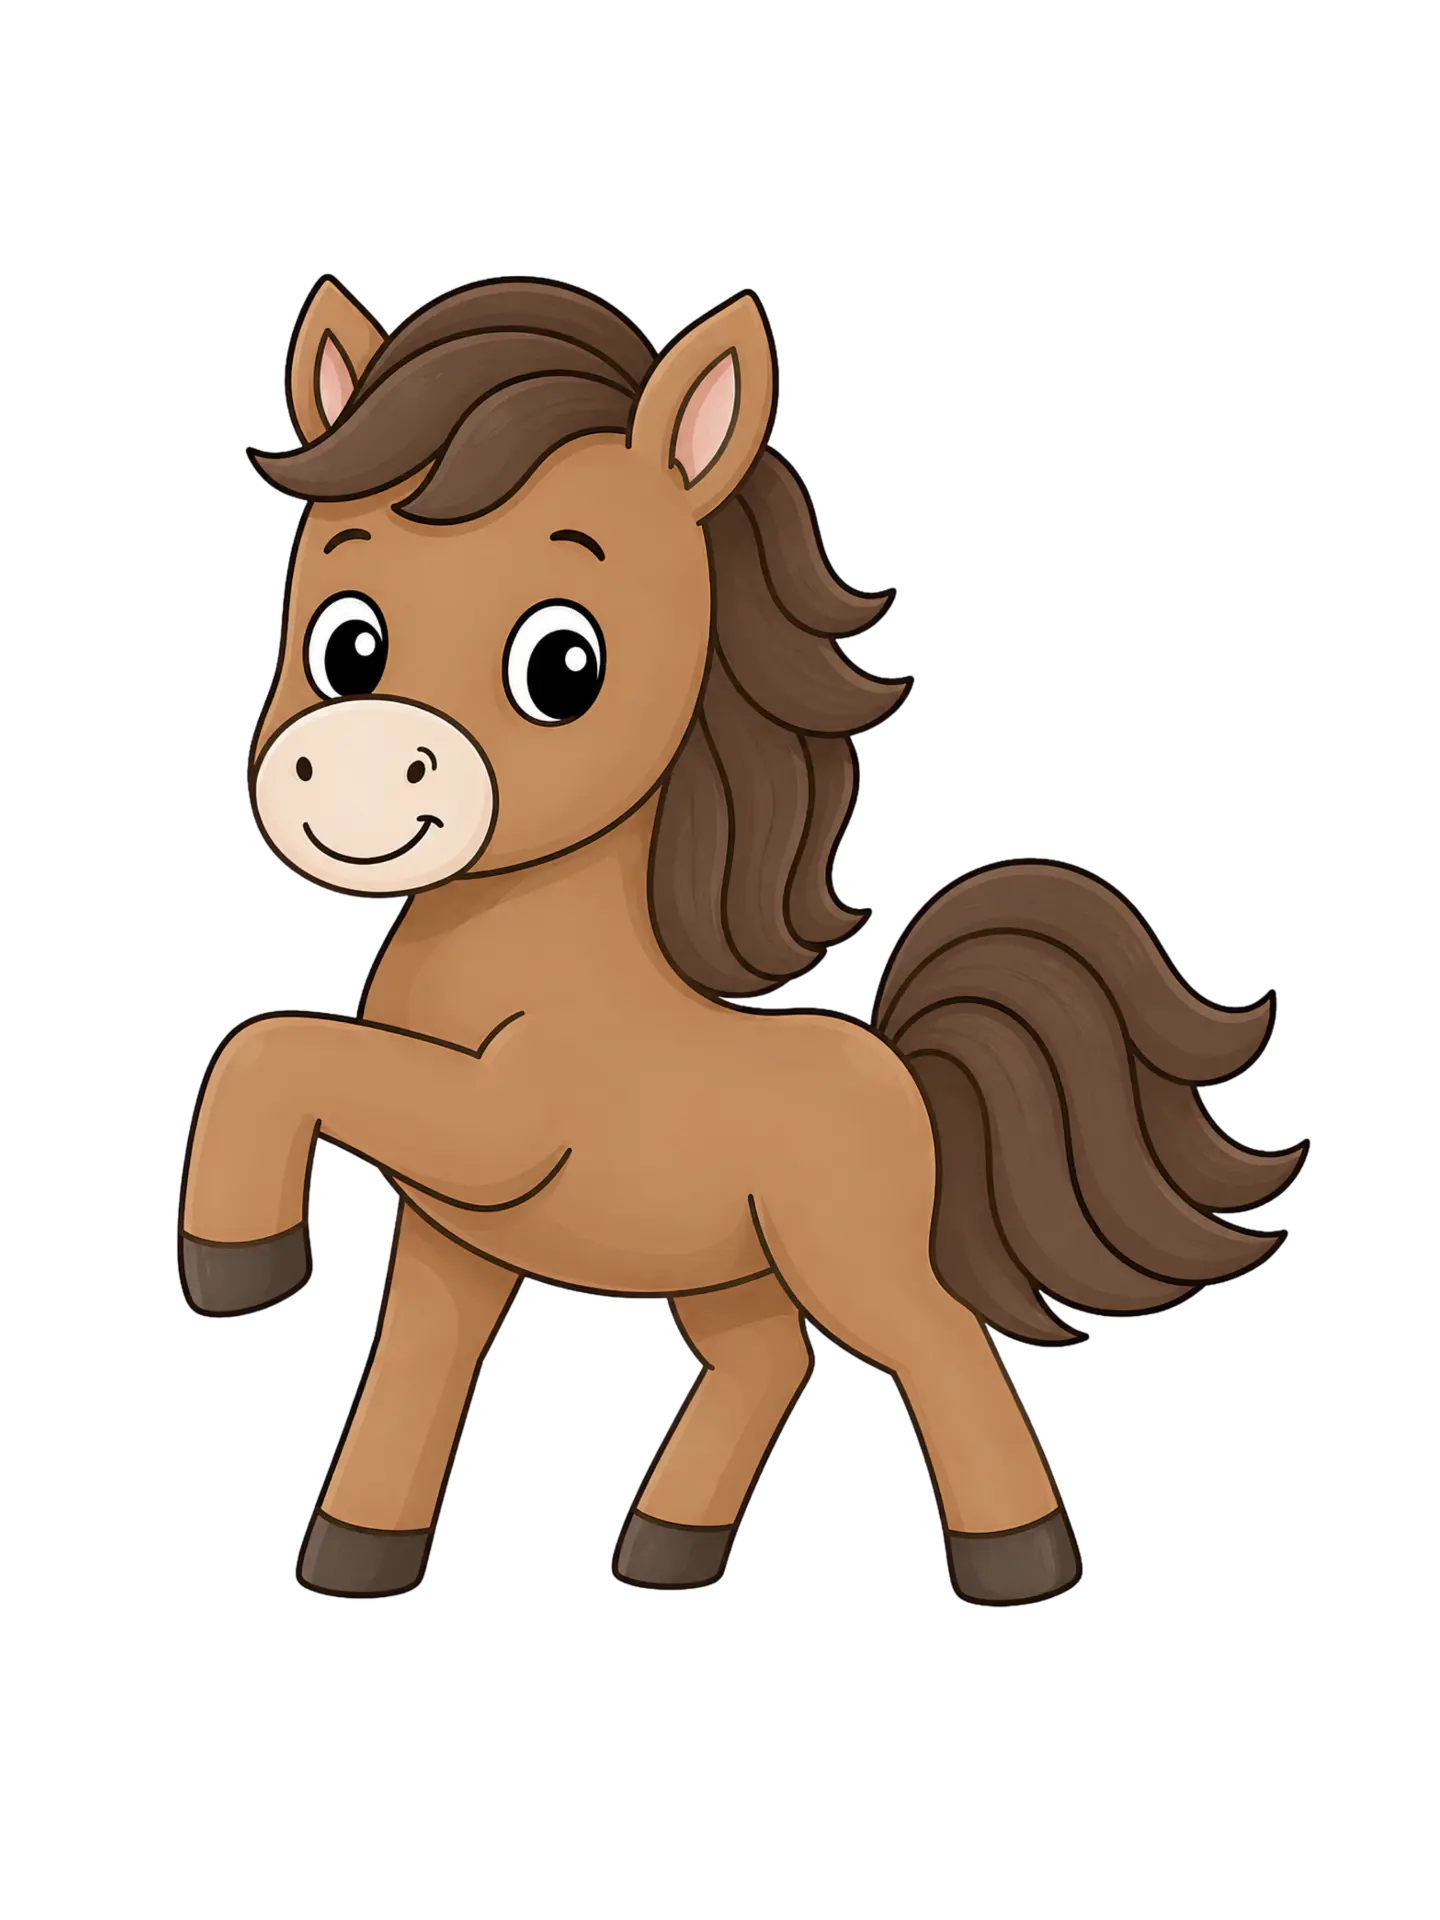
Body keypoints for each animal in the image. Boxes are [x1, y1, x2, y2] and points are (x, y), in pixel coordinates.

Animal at [178, 276, 1301, 1600]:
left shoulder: (501, 1129)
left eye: (565, 663)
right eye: (346, 640)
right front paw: (357, 1555)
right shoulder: (452, 1236)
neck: (523, 967)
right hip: (738, 1275)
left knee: (938, 1341)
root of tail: (903, 1066)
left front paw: (237, 1257)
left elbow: (272, 1047)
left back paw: (1016, 1561)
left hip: (848, 1255)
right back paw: (668, 1548)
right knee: (767, 1363)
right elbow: (410, 1374)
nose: (352, 773)